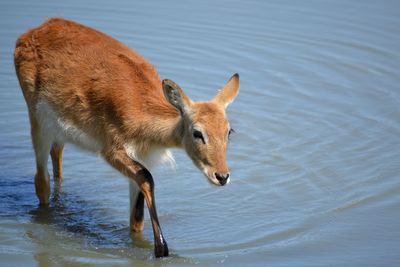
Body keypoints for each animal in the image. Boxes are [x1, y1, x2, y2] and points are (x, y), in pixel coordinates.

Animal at [14, 17, 239, 258]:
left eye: (229, 131)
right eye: (198, 132)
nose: (222, 176)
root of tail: (37, 28)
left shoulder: (142, 157)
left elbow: (136, 216)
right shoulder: (112, 151)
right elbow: (147, 178)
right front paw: (161, 249)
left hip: (57, 130)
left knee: (57, 157)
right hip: (38, 123)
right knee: (41, 180)